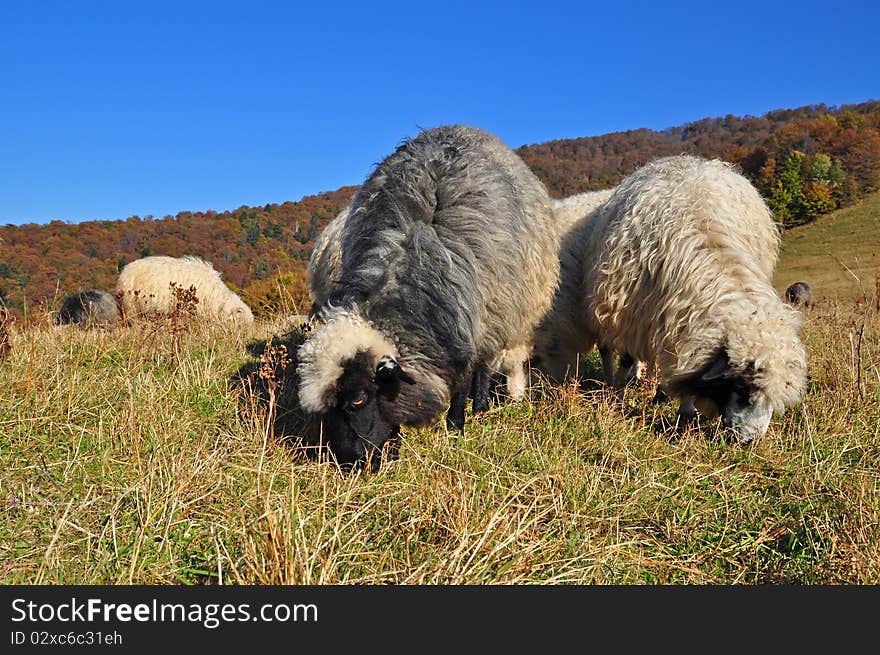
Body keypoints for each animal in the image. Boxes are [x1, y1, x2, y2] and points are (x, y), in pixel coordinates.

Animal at [296, 124, 556, 472]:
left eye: (358, 399)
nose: (351, 464)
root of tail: (461, 126)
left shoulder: (466, 327)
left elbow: (462, 382)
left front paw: (456, 430)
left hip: (499, 311)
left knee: (485, 364)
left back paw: (481, 406)